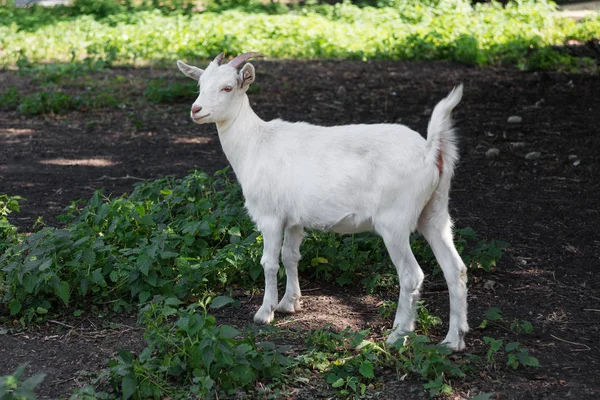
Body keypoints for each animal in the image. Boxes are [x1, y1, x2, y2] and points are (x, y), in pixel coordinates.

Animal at [177, 52, 468, 350]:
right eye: (200, 84)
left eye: (227, 88)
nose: (196, 109)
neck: (255, 144)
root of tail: (430, 152)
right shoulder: (295, 220)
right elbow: (290, 256)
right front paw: (289, 303)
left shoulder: (270, 216)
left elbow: (269, 262)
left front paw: (265, 312)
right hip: (435, 212)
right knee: (455, 269)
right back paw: (453, 340)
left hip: (394, 221)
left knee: (411, 275)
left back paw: (398, 334)